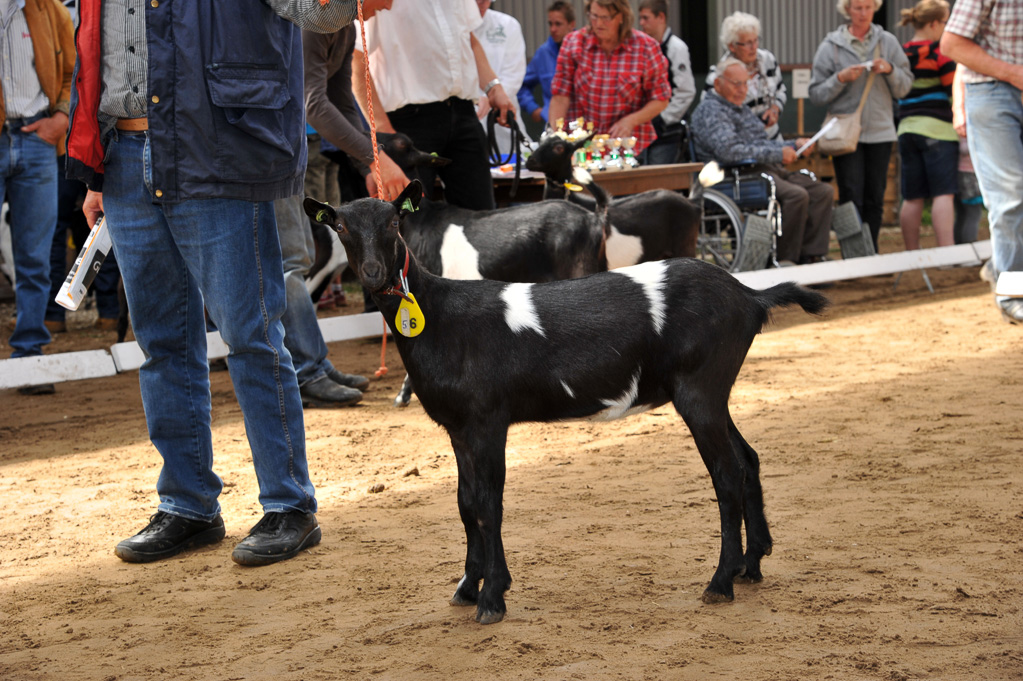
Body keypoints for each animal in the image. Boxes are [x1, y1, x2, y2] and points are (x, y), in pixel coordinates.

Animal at [304, 178, 830, 621]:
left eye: (394, 223)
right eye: (341, 226)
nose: (373, 273)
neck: (439, 315)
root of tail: (750, 296)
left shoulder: (487, 420)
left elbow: (488, 504)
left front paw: (492, 597)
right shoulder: (458, 427)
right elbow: (465, 503)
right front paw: (468, 587)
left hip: (700, 390)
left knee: (726, 474)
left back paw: (721, 580)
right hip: (713, 393)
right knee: (748, 459)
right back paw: (752, 563)